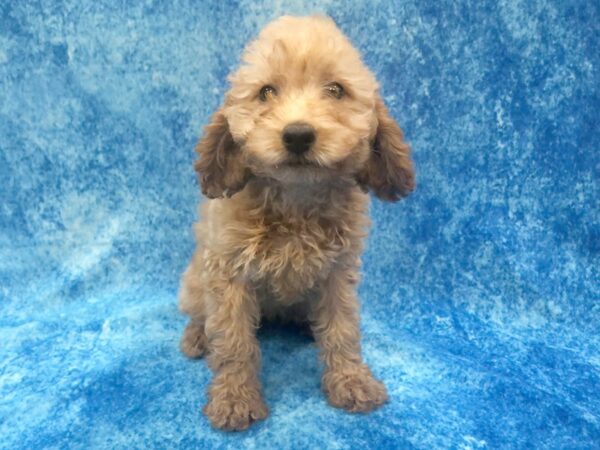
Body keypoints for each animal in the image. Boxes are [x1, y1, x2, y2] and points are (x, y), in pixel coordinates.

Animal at [177, 15, 412, 430]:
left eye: (336, 90)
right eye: (266, 92)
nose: (298, 135)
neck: (296, 201)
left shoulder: (338, 274)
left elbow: (343, 331)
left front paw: (351, 381)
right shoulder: (228, 273)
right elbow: (234, 342)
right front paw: (235, 398)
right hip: (193, 280)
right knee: (199, 312)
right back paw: (196, 337)